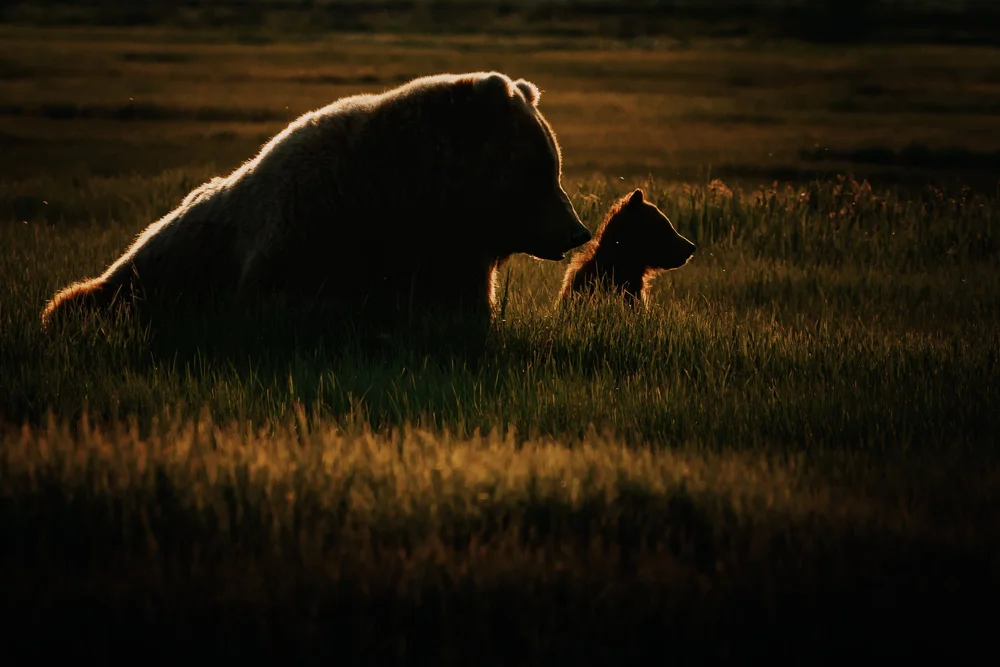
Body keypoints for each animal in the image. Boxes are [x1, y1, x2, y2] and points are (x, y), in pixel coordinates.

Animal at [40, 71, 592, 334]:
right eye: (540, 171)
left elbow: (461, 311)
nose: (578, 231)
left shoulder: (452, 260)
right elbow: (296, 301)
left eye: (553, 165)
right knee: (80, 302)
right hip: (143, 279)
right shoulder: (310, 228)